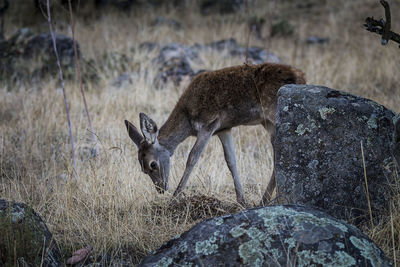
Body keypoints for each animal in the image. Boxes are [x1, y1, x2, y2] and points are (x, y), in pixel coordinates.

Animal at [125, 62, 306, 205]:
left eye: (152, 164)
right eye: (142, 169)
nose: (161, 188)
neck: (187, 118)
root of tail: (301, 76)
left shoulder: (209, 123)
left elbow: (192, 157)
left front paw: (175, 196)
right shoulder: (224, 129)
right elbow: (231, 160)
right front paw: (241, 200)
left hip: (274, 115)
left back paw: (268, 199)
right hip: (268, 122)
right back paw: (265, 200)